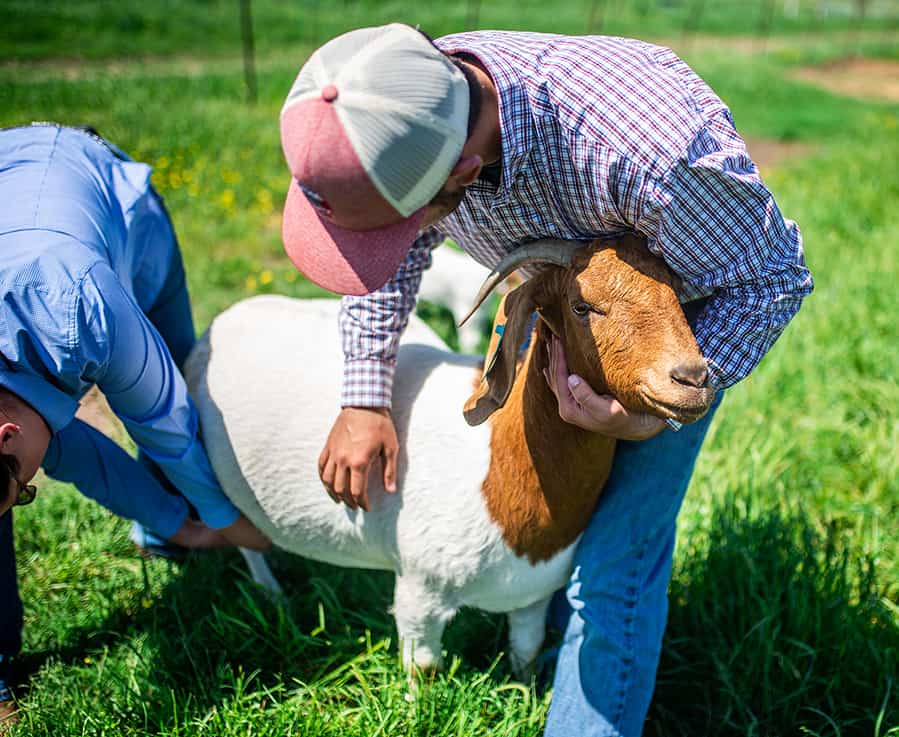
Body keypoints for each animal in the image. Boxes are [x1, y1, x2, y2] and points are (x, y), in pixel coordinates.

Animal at [184, 234, 715, 678]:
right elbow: (424, 671)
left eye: (678, 299)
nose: (691, 378)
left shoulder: (533, 596)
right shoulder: (421, 594)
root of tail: (224, 320)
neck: (497, 471)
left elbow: (525, 655)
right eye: (583, 305)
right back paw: (271, 593)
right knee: (246, 540)